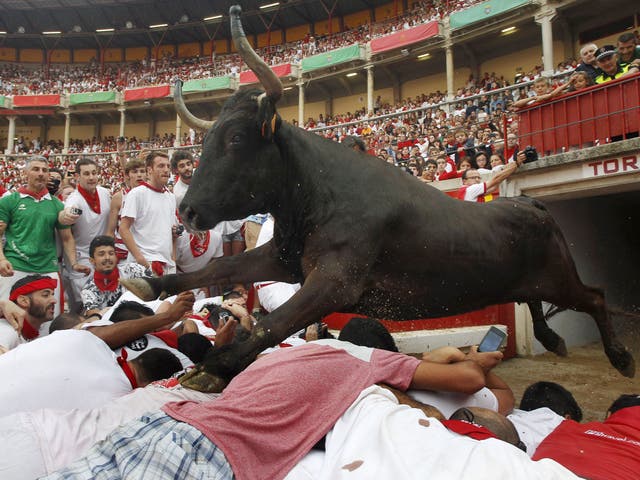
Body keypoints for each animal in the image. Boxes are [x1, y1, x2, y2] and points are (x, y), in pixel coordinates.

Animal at [119, 6, 632, 390]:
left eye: (237, 139)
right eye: (206, 141)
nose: (187, 210)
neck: (315, 196)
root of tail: (528, 204)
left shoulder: (336, 280)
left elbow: (272, 321)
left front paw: (214, 367)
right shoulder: (285, 258)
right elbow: (223, 268)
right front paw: (155, 284)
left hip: (559, 277)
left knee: (595, 296)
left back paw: (621, 357)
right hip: (528, 281)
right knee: (538, 301)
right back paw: (554, 340)